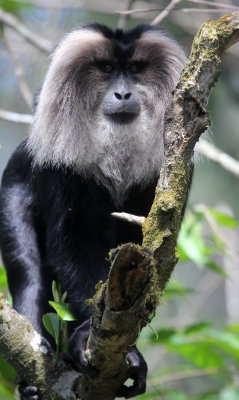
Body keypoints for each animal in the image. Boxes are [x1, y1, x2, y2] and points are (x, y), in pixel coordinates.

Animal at [0, 23, 187, 398]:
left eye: (134, 69)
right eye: (106, 69)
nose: (123, 94)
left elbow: (152, 261)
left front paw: (130, 353)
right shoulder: (58, 165)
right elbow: (72, 246)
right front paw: (87, 333)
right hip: (12, 189)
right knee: (26, 268)